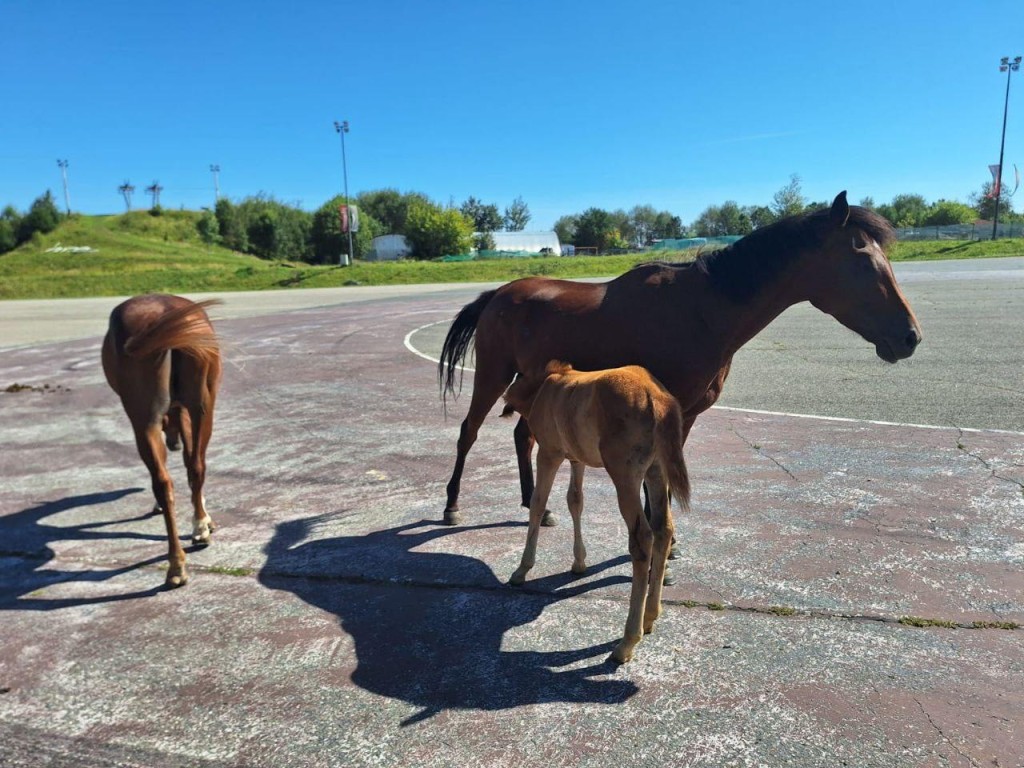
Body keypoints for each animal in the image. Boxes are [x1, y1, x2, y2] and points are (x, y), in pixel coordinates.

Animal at [102, 294, 223, 589]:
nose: (173, 442)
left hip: (147, 418)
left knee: (166, 479)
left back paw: (180, 557)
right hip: (201, 406)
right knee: (193, 468)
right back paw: (193, 538)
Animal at [436, 193, 925, 528]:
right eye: (863, 262)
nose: (910, 337)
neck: (703, 310)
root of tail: (498, 294)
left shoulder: (683, 418)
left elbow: (664, 484)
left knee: (523, 436)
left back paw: (533, 506)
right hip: (493, 376)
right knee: (468, 433)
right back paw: (452, 505)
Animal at [501, 364, 688, 663]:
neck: (545, 386)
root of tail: (657, 398)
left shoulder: (549, 453)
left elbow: (538, 503)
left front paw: (522, 569)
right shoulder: (576, 458)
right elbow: (575, 501)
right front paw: (579, 562)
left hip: (625, 475)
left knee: (642, 538)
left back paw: (627, 641)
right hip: (656, 471)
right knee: (663, 528)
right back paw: (650, 617)